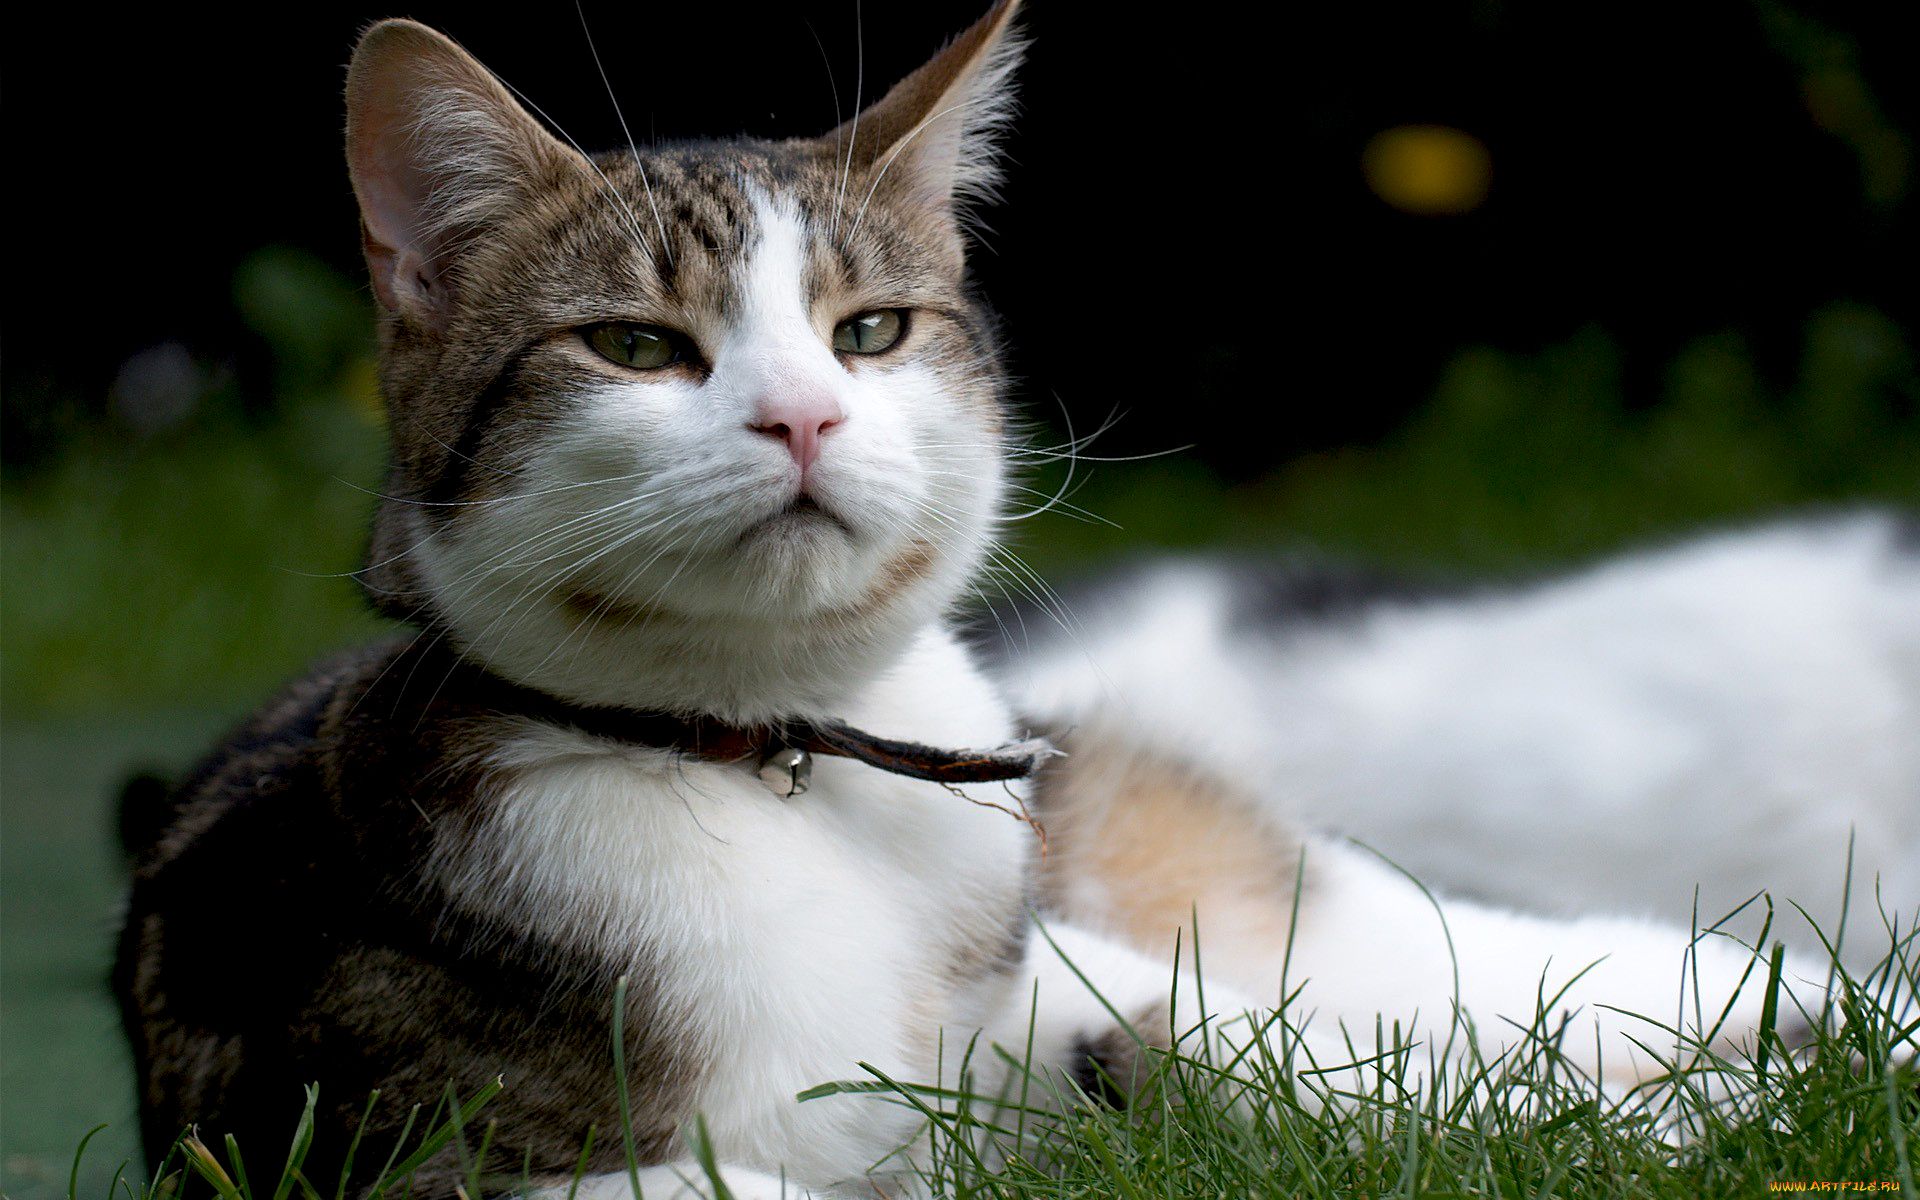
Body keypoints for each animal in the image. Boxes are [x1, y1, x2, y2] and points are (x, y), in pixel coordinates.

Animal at [116, 4, 1812, 1190]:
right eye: (638, 348)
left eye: (868, 331)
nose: (804, 417)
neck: (775, 762)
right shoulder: (408, 1148)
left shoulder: (1044, 983)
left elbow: (1301, 1066)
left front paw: (1648, 1124)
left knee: (1410, 944)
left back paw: (1786, 1017)